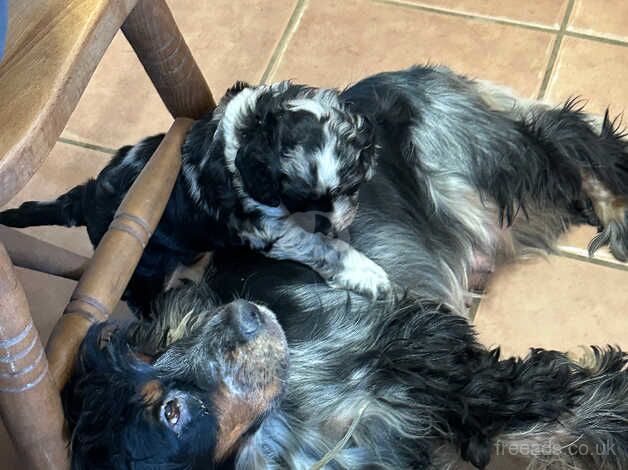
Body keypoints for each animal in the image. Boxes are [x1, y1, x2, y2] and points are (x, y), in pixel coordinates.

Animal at [0, 81, 390, 310]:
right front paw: (367, 273)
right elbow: (321, 248)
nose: (333, 223)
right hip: (145, 269)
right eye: (296, 199)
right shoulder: (267, 228)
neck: (247, 131)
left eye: (352, 188)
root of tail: (86, 198)